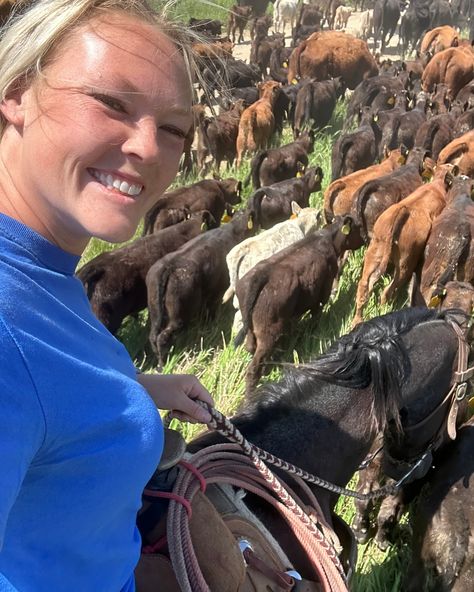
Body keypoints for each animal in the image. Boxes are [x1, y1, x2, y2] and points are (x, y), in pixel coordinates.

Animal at [148, 210, 260, 364]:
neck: (233, 231)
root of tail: (168, 267)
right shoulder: (217, 292)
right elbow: (211, 310)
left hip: (155, 312)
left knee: (153, 336)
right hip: (178, 316)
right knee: (162, 337)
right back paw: (163, 364)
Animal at [235, 215, 362, 396]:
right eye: (358, 227)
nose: (365, 238)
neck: (328, 238)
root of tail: (260, 275)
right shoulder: (323, 289)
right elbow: (316, 313)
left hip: (253, 330)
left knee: (251, 348)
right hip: (269, 332)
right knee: (253, 369)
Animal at [352, 164, 456, 326]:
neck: (437, 185)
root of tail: (399, 212)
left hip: (374, 253)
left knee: (363, 286)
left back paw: (356, 321)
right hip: (405, 263)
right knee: (387, 291)